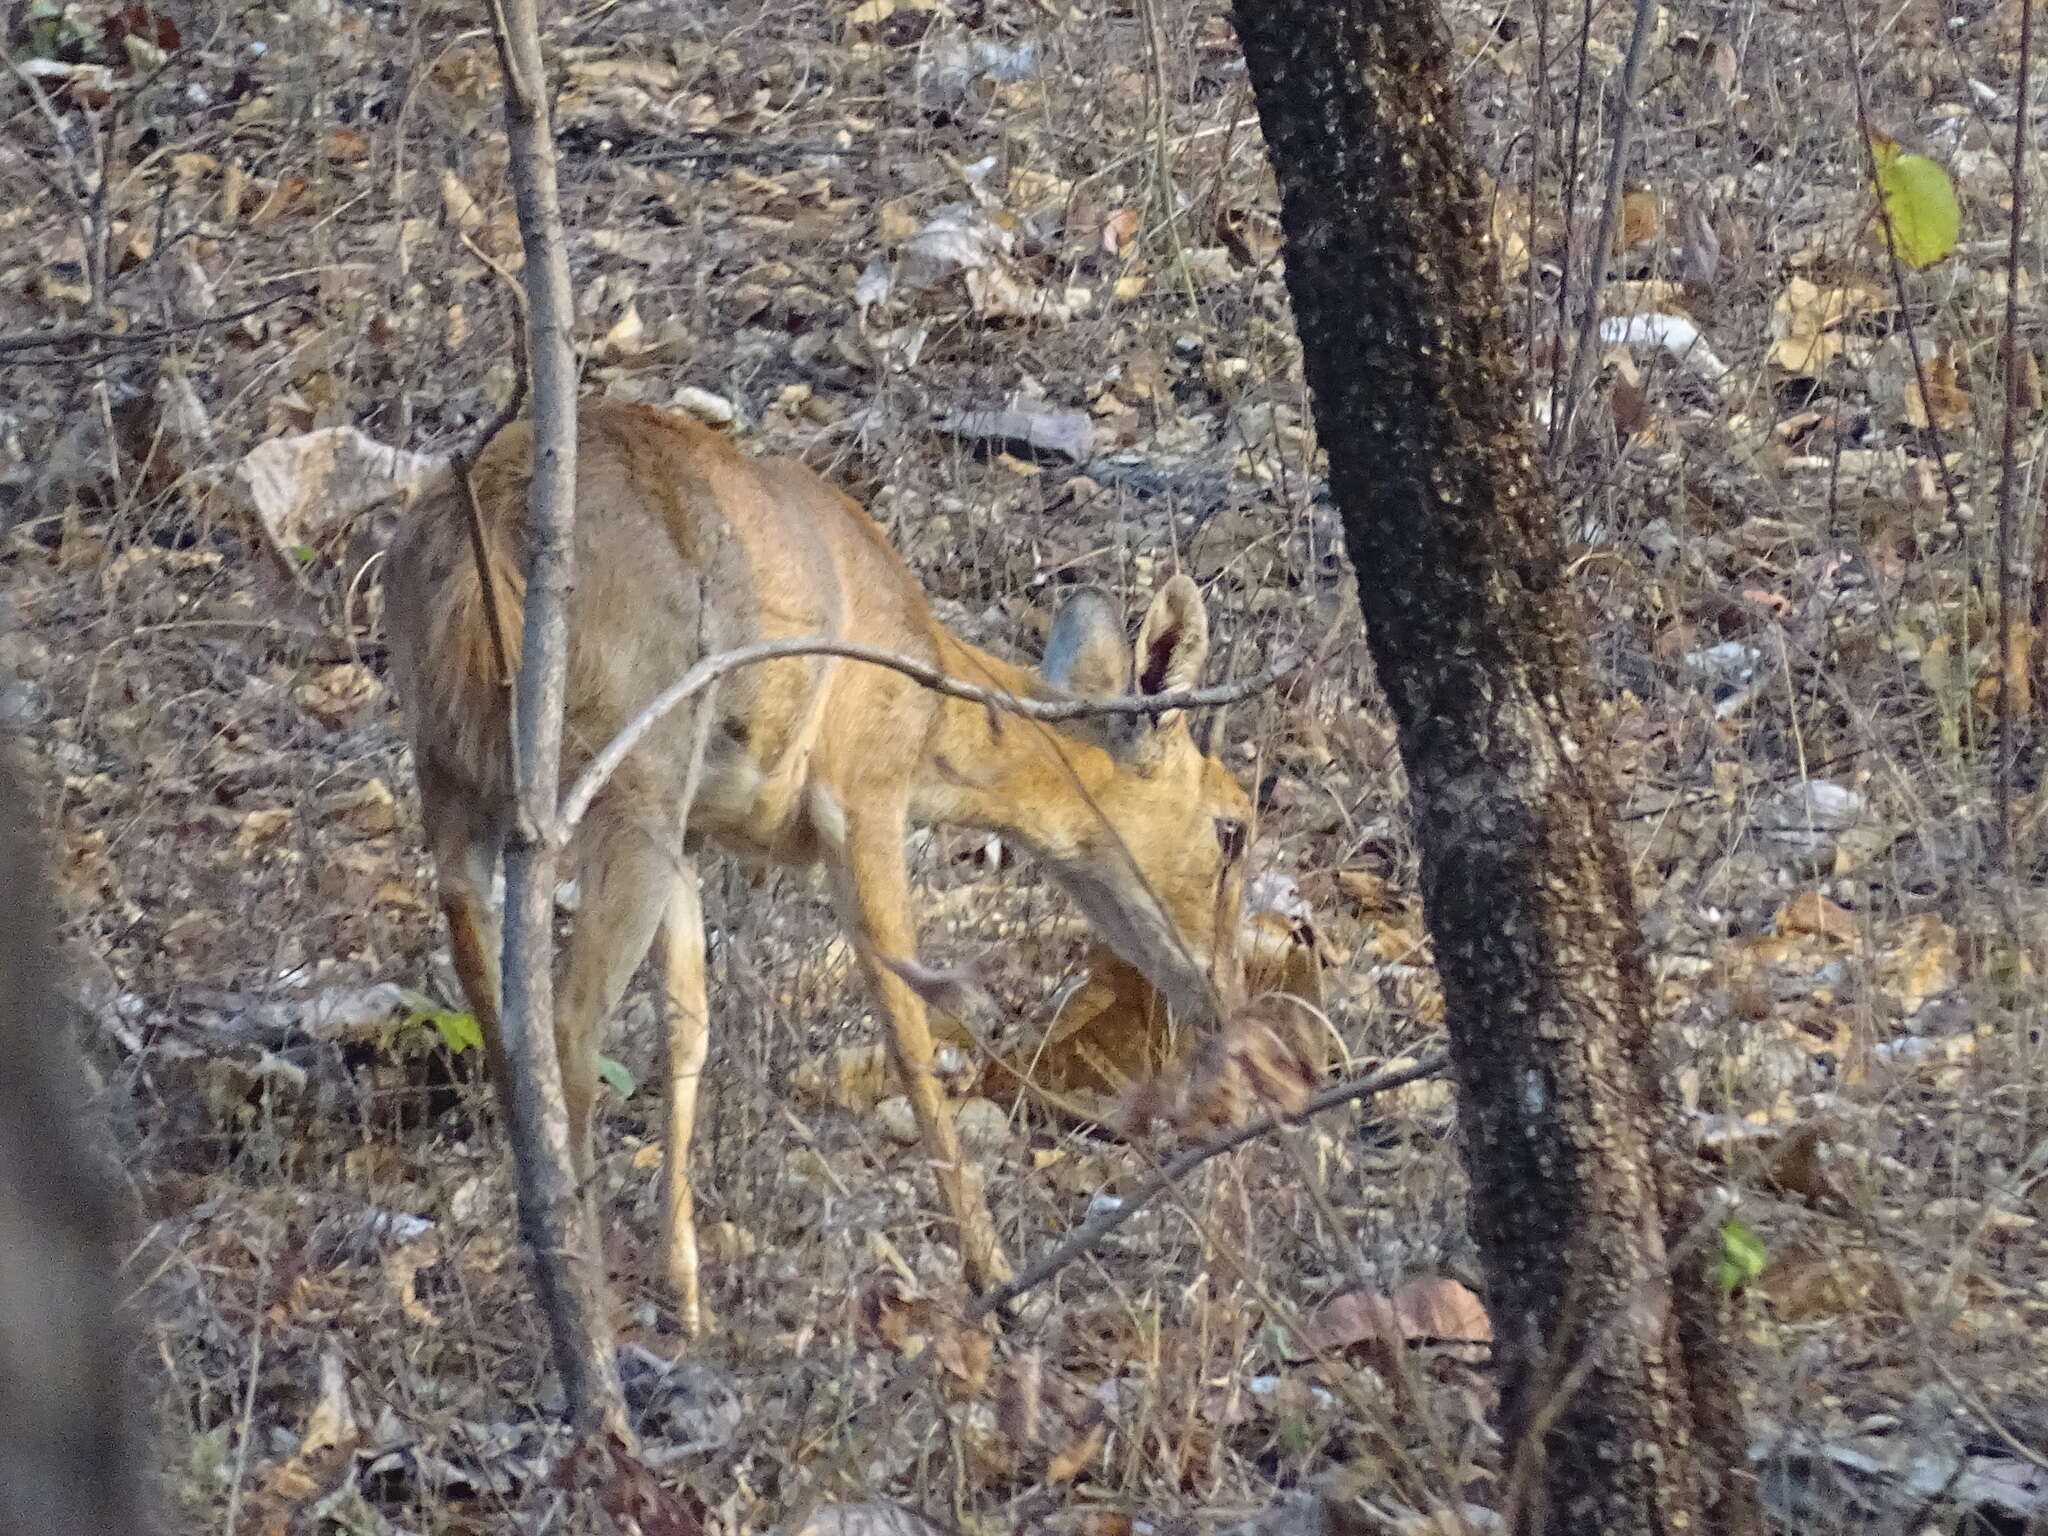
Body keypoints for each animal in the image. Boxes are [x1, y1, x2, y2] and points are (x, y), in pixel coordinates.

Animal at [382, 399, 1245, 1335]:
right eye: (1233, 827)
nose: (1226, 996)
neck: (934, 707)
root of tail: (478, 559)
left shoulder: (696, 834)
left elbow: (690, 1027)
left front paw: (690, 1300)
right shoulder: (860, 792)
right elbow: (909, 1031)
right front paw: (995, 1277)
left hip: (452, 770)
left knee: (497, 1001)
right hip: (633, 765)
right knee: (570, 1022)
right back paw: (592, 1306)